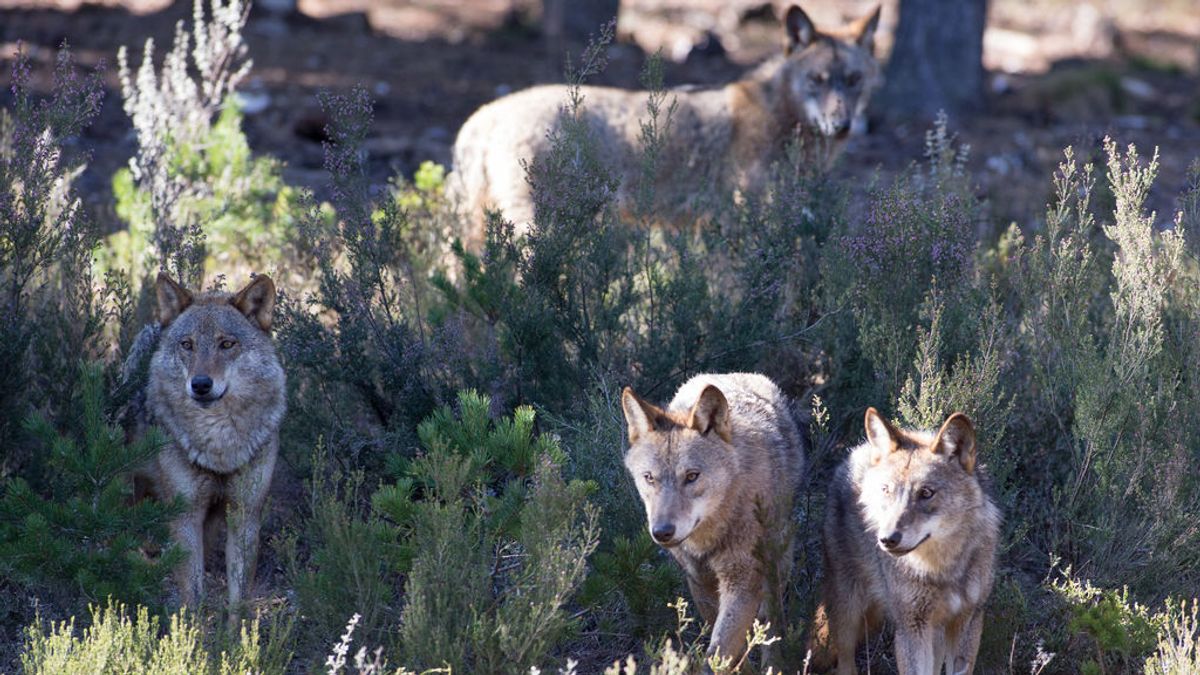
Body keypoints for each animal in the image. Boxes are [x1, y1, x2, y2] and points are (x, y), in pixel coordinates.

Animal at [132, 270, 288, 612]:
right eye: (187, 345)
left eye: (226, 344)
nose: (201, 384)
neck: (219, 448)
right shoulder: (185, 517)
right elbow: (192, 598)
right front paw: (188, 629)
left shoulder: (245, 515)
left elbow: (238, 600)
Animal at [619, 372, 806, 662]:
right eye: (649, 478)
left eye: (692, 476)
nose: (662, 532)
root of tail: (734, 374)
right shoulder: (698, 580)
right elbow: (720, 643)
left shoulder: (742, 580)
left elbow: (721, 651)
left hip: (777, 561)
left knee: (771, 620)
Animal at [806, 408, 1003, 667]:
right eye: (886, 490)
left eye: (926, 493)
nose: (887, 539)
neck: (942, 568)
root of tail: (857, 451)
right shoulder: (911, 628)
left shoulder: (968, 621)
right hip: (848, 609)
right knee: (845, 660)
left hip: (935, 632)